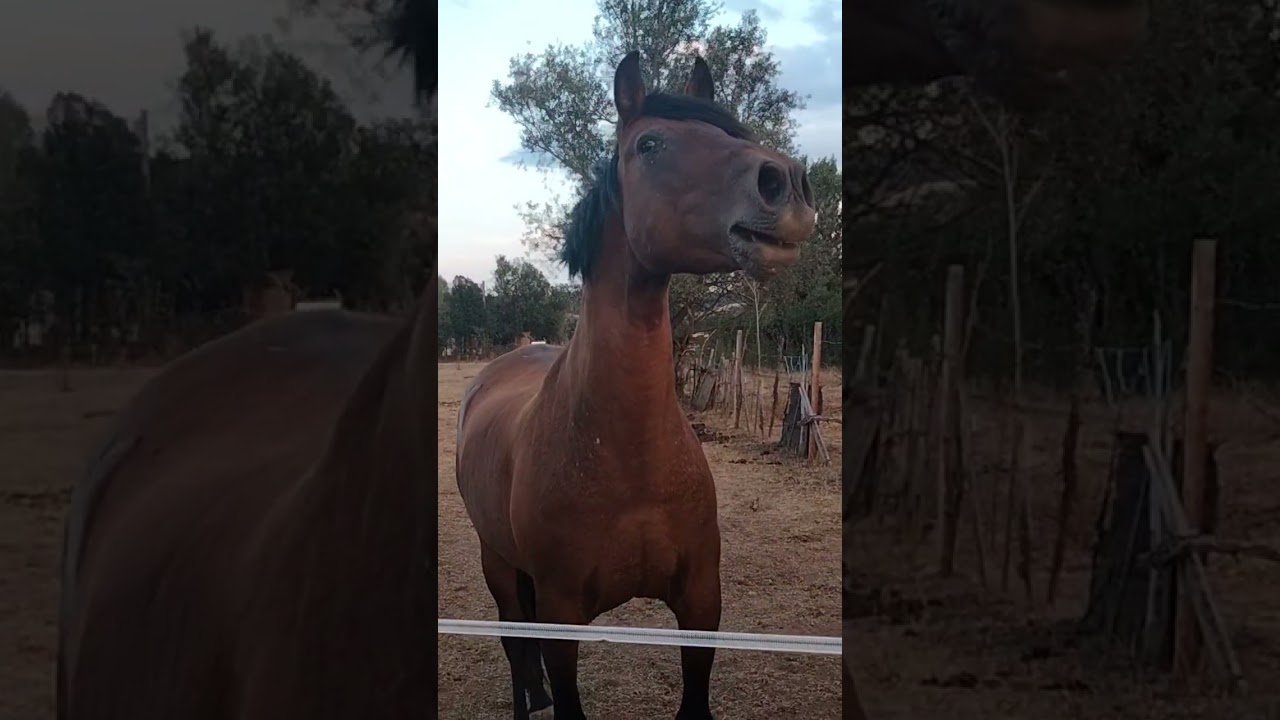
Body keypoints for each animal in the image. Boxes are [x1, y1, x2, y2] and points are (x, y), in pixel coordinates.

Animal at [454, 51, 817, 720]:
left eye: (728, 128)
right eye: (650, 144)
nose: (787, 185)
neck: (625, 456)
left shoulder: (701, 601)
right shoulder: (562, 616)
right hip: (499, 565)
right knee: (514, 645)